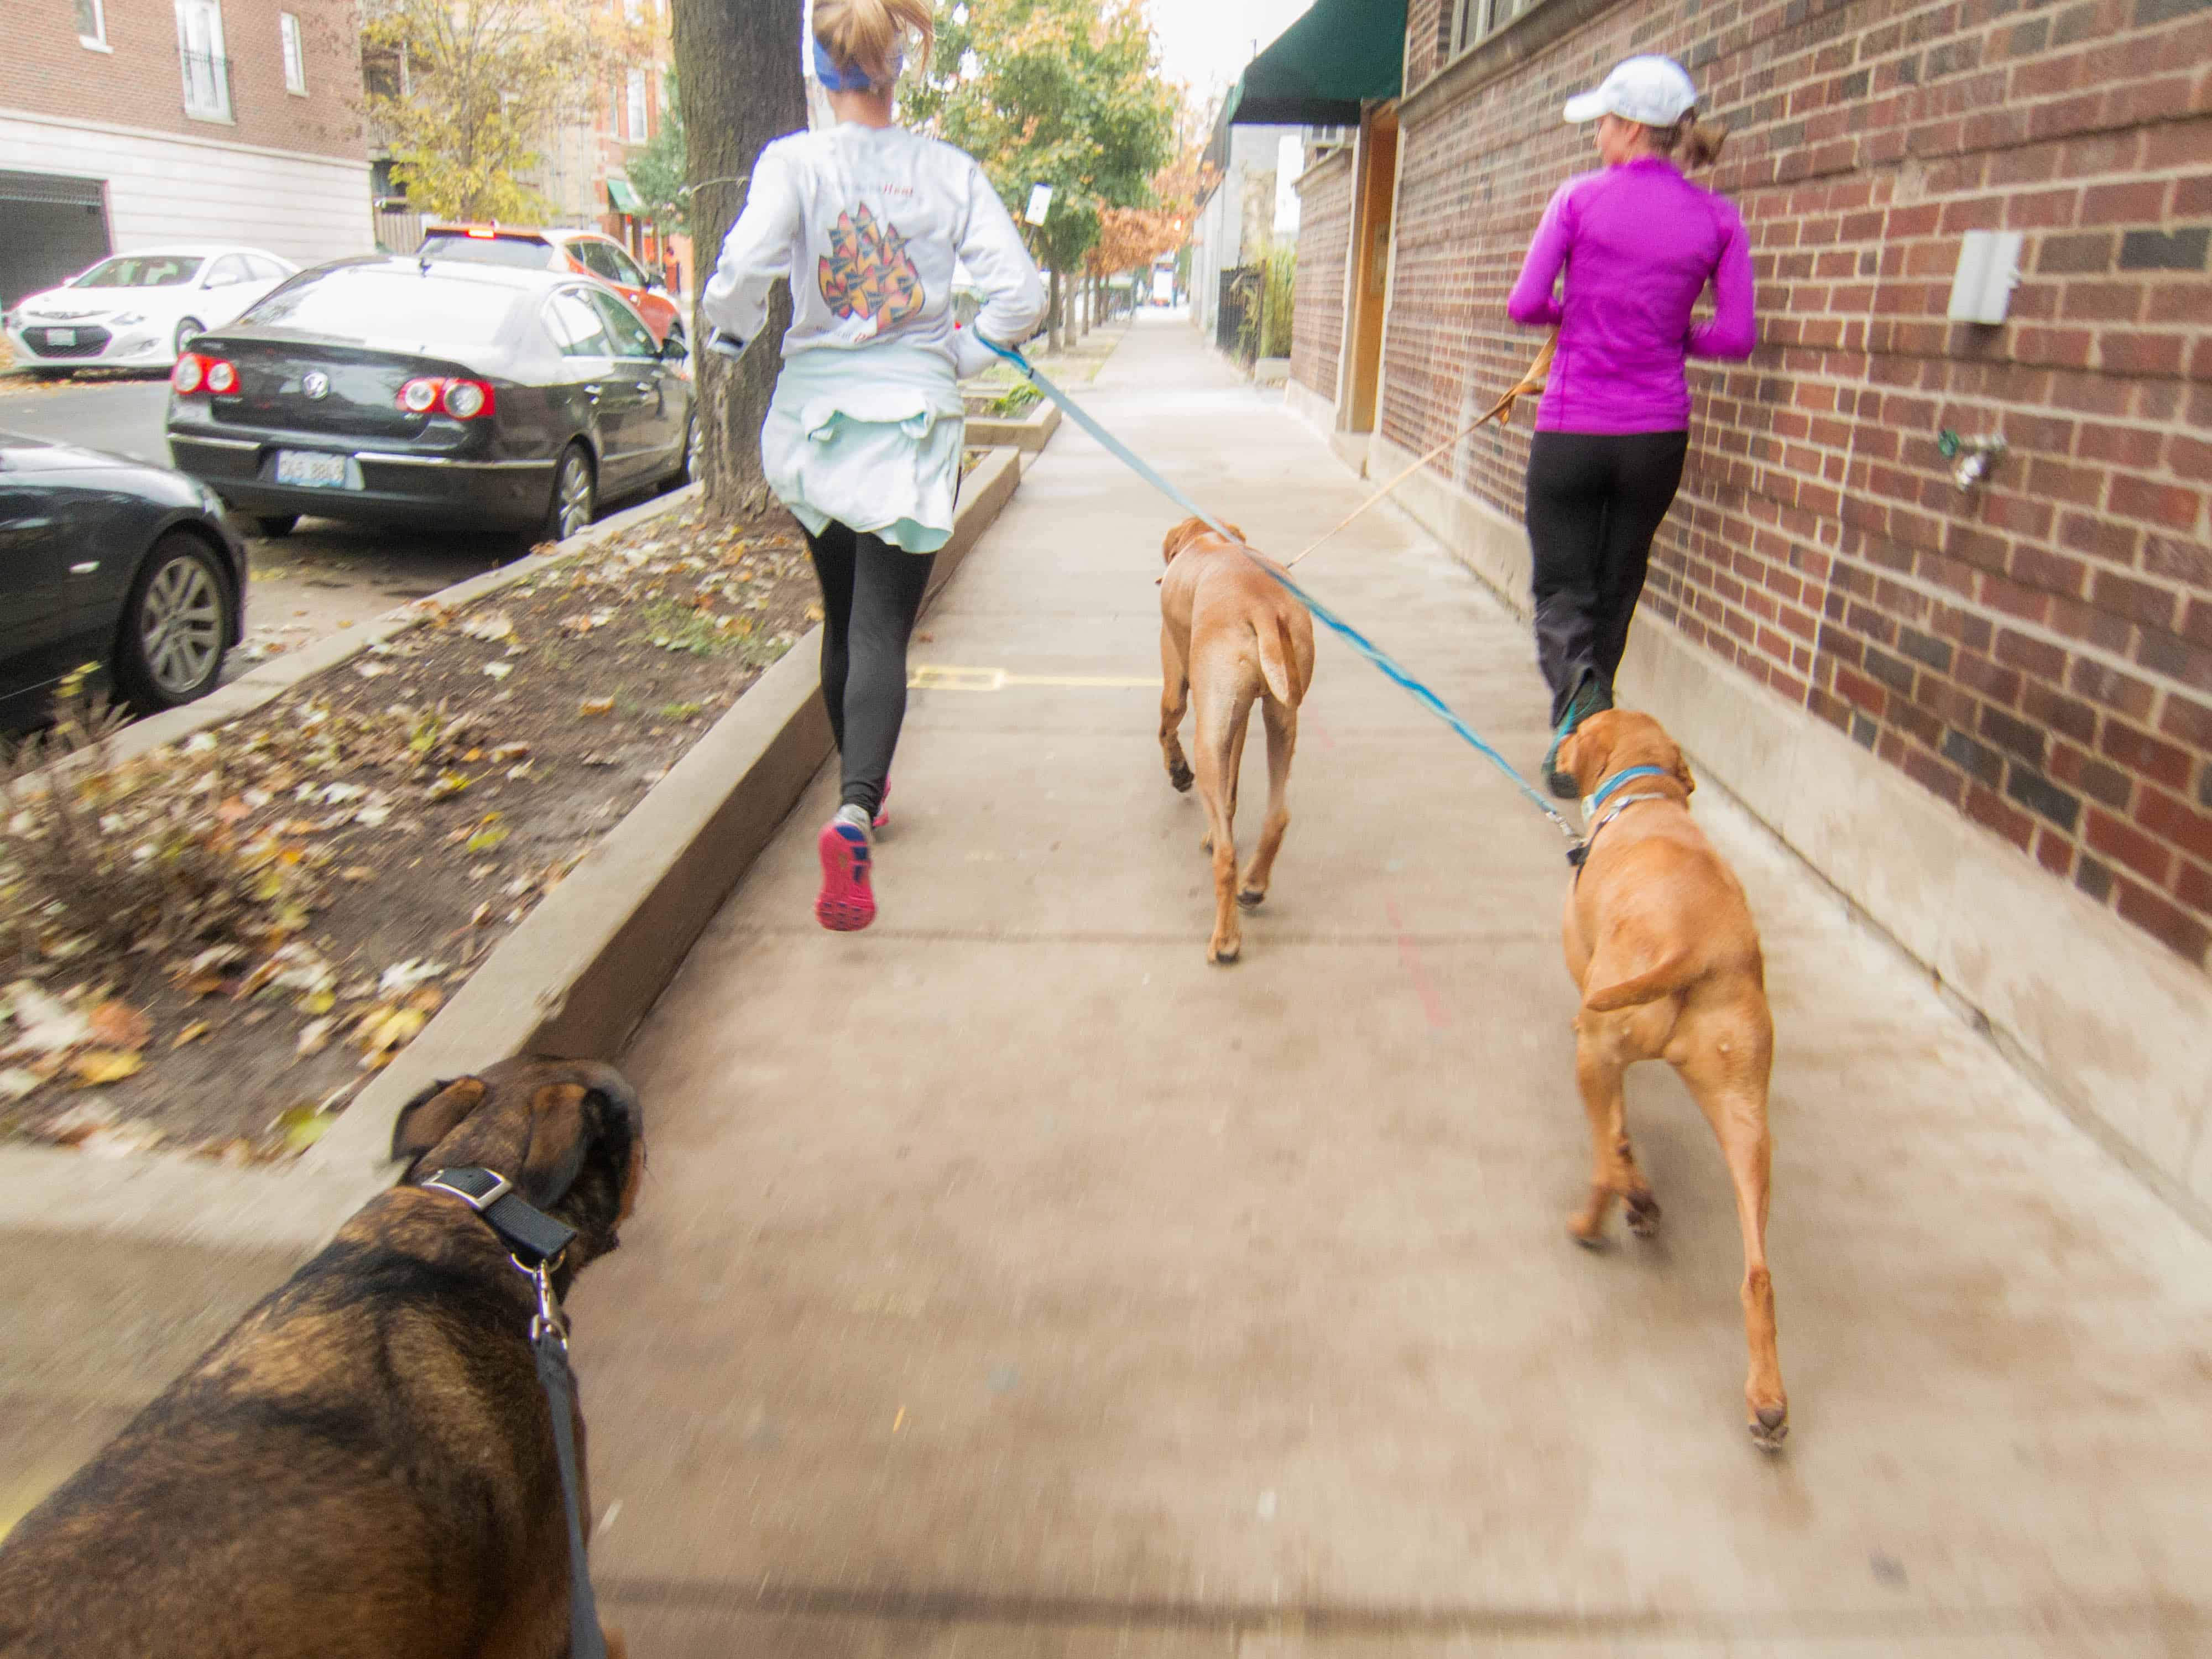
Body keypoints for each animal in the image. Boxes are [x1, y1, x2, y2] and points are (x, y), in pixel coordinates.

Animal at [1159, 513, 1310, 969]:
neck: (1209, 538)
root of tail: (1261, 604)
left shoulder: (1177, 680)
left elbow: (1166, 728)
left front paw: (1178, 773)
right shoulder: (1236, 717)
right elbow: (1229, 794)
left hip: (1208, 739)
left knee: (1227, 859)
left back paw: (1226, 942)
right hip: (1281, 720)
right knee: (1276, 817)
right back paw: (1254, 885)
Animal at [1548, 717, 1787, 1451]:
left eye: (1584, 725)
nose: (1561, 737)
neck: (1646, 795)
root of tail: (1695, 943)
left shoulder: (1598, 1038)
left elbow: (1618, 1138)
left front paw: (1638, 1196)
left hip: (1596, 1052)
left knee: (1604, 1161)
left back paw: (1597, 1220)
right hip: (1745, 1115)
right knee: (1758, 1275)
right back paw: (1768, 1403)